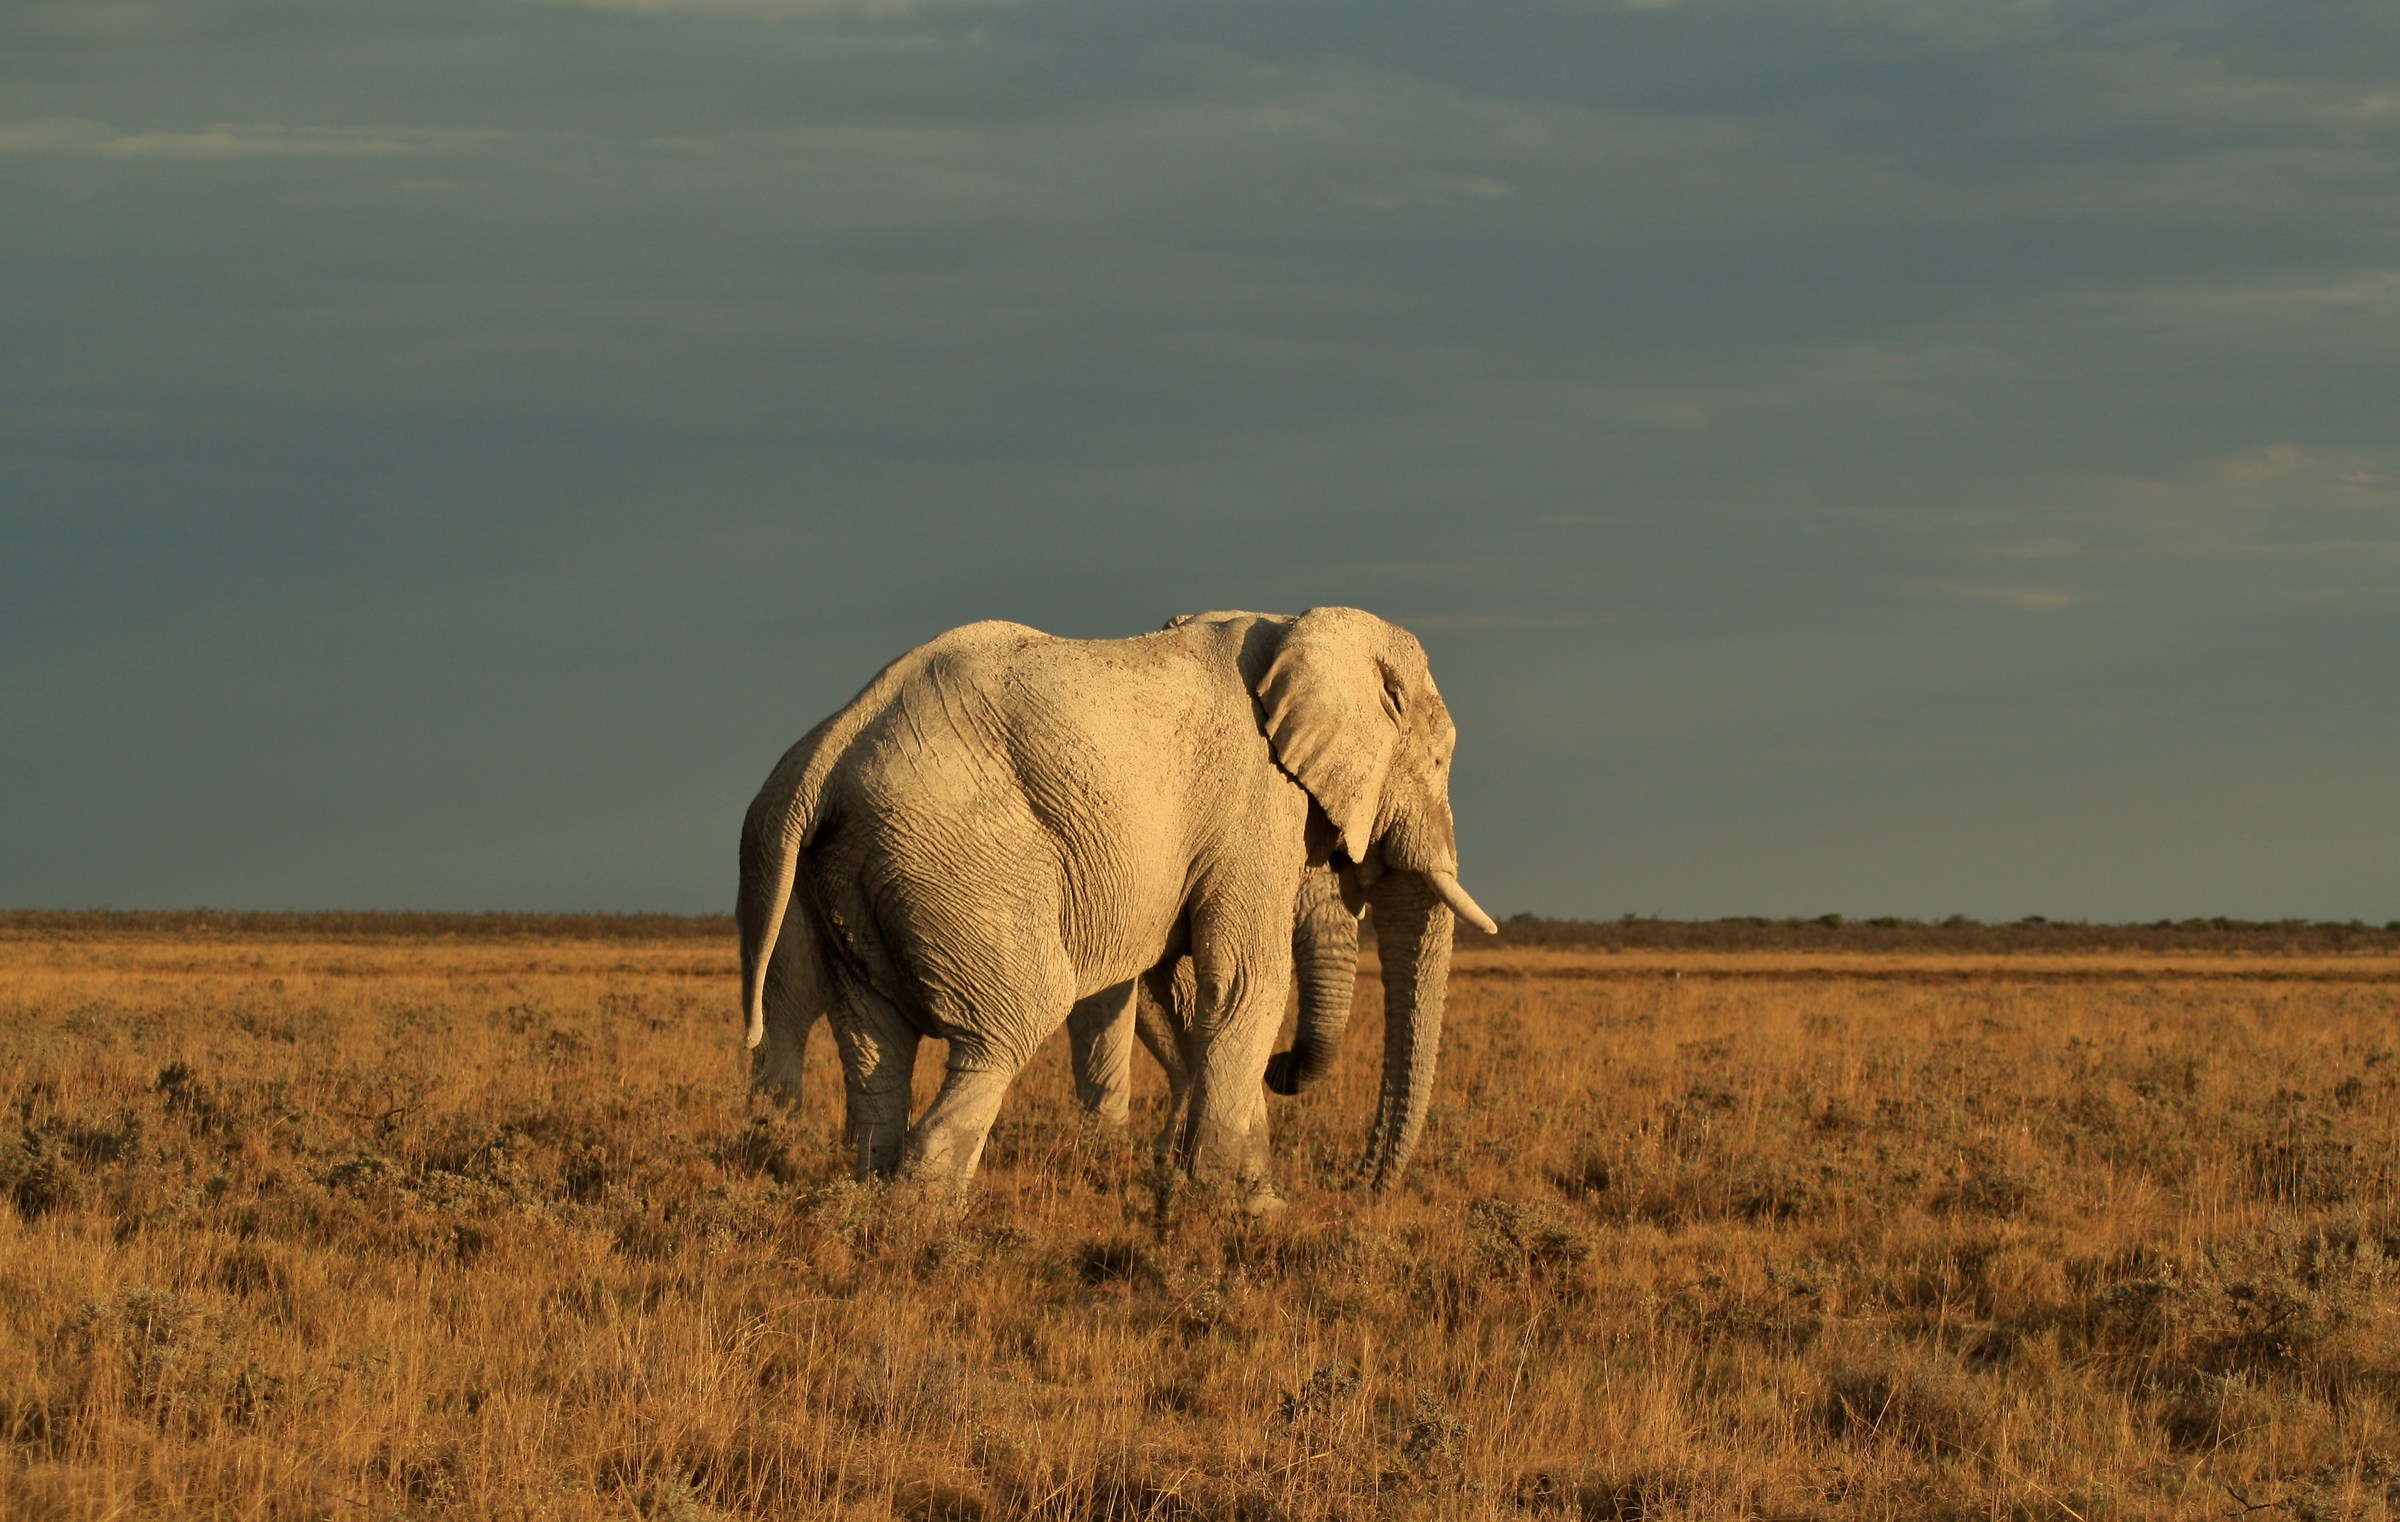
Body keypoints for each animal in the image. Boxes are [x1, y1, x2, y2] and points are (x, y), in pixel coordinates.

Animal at [735, 606, 1494, 1203]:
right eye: (1438, 762)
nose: (1360, 1190)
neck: (1302, 628)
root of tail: (828, 748)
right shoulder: (1253, 800)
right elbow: (1245, 982)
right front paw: (1243, 1207)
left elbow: (1185, 995)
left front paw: (1228, 1189)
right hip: (955, 855)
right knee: (1009, 1023)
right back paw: (924, 1212)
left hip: (854, 870)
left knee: (874, 1038)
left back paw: (868, 1194)